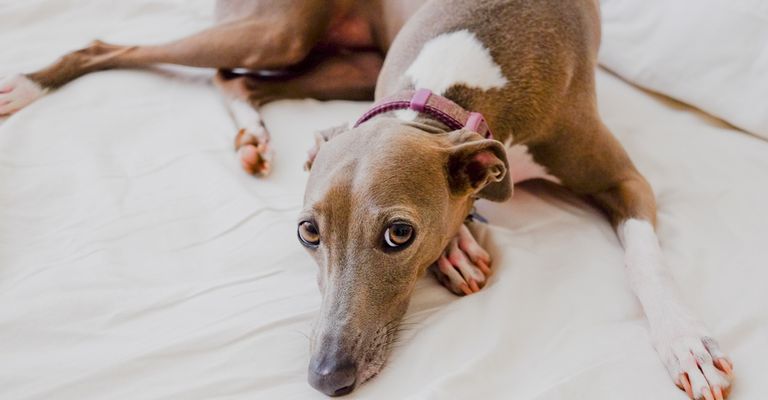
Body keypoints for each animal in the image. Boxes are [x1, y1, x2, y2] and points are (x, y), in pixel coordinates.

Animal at [0, 0, 732, 400]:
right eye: (307, 233)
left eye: (398, 234)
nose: (326, 377)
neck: (447, 98)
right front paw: (460, 245)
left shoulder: (624, 179)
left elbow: (646, 261)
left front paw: (685, 345)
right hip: (280, 33)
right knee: (131, 49)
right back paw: (33, 84)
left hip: (343, 64)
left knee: (235, 78)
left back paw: (250, 128)